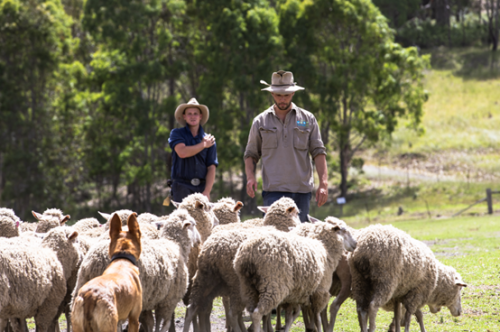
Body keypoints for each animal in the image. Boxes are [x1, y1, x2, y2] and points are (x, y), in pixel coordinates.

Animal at [72, 209, 201, 332]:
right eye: (193, 224)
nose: (199, 240)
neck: (175, 245)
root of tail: (94, 261)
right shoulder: (168, 301)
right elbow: (163, 324)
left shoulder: (150, 302)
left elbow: (151, 322)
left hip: (80, 292)